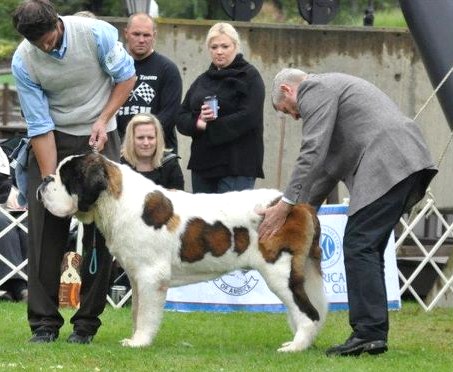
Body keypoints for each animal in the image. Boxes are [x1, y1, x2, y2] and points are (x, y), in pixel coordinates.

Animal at [38, 152, 324, 352]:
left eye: (65, 178)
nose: (44, 179)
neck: (117, 202)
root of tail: (299, 205)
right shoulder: (136, 277)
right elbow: (137, 311)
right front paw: (135, 338)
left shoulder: (151, 276)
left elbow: (146, 314)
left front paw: (139, 343)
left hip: (280, 273)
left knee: (308, 313)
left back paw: (295, 346)